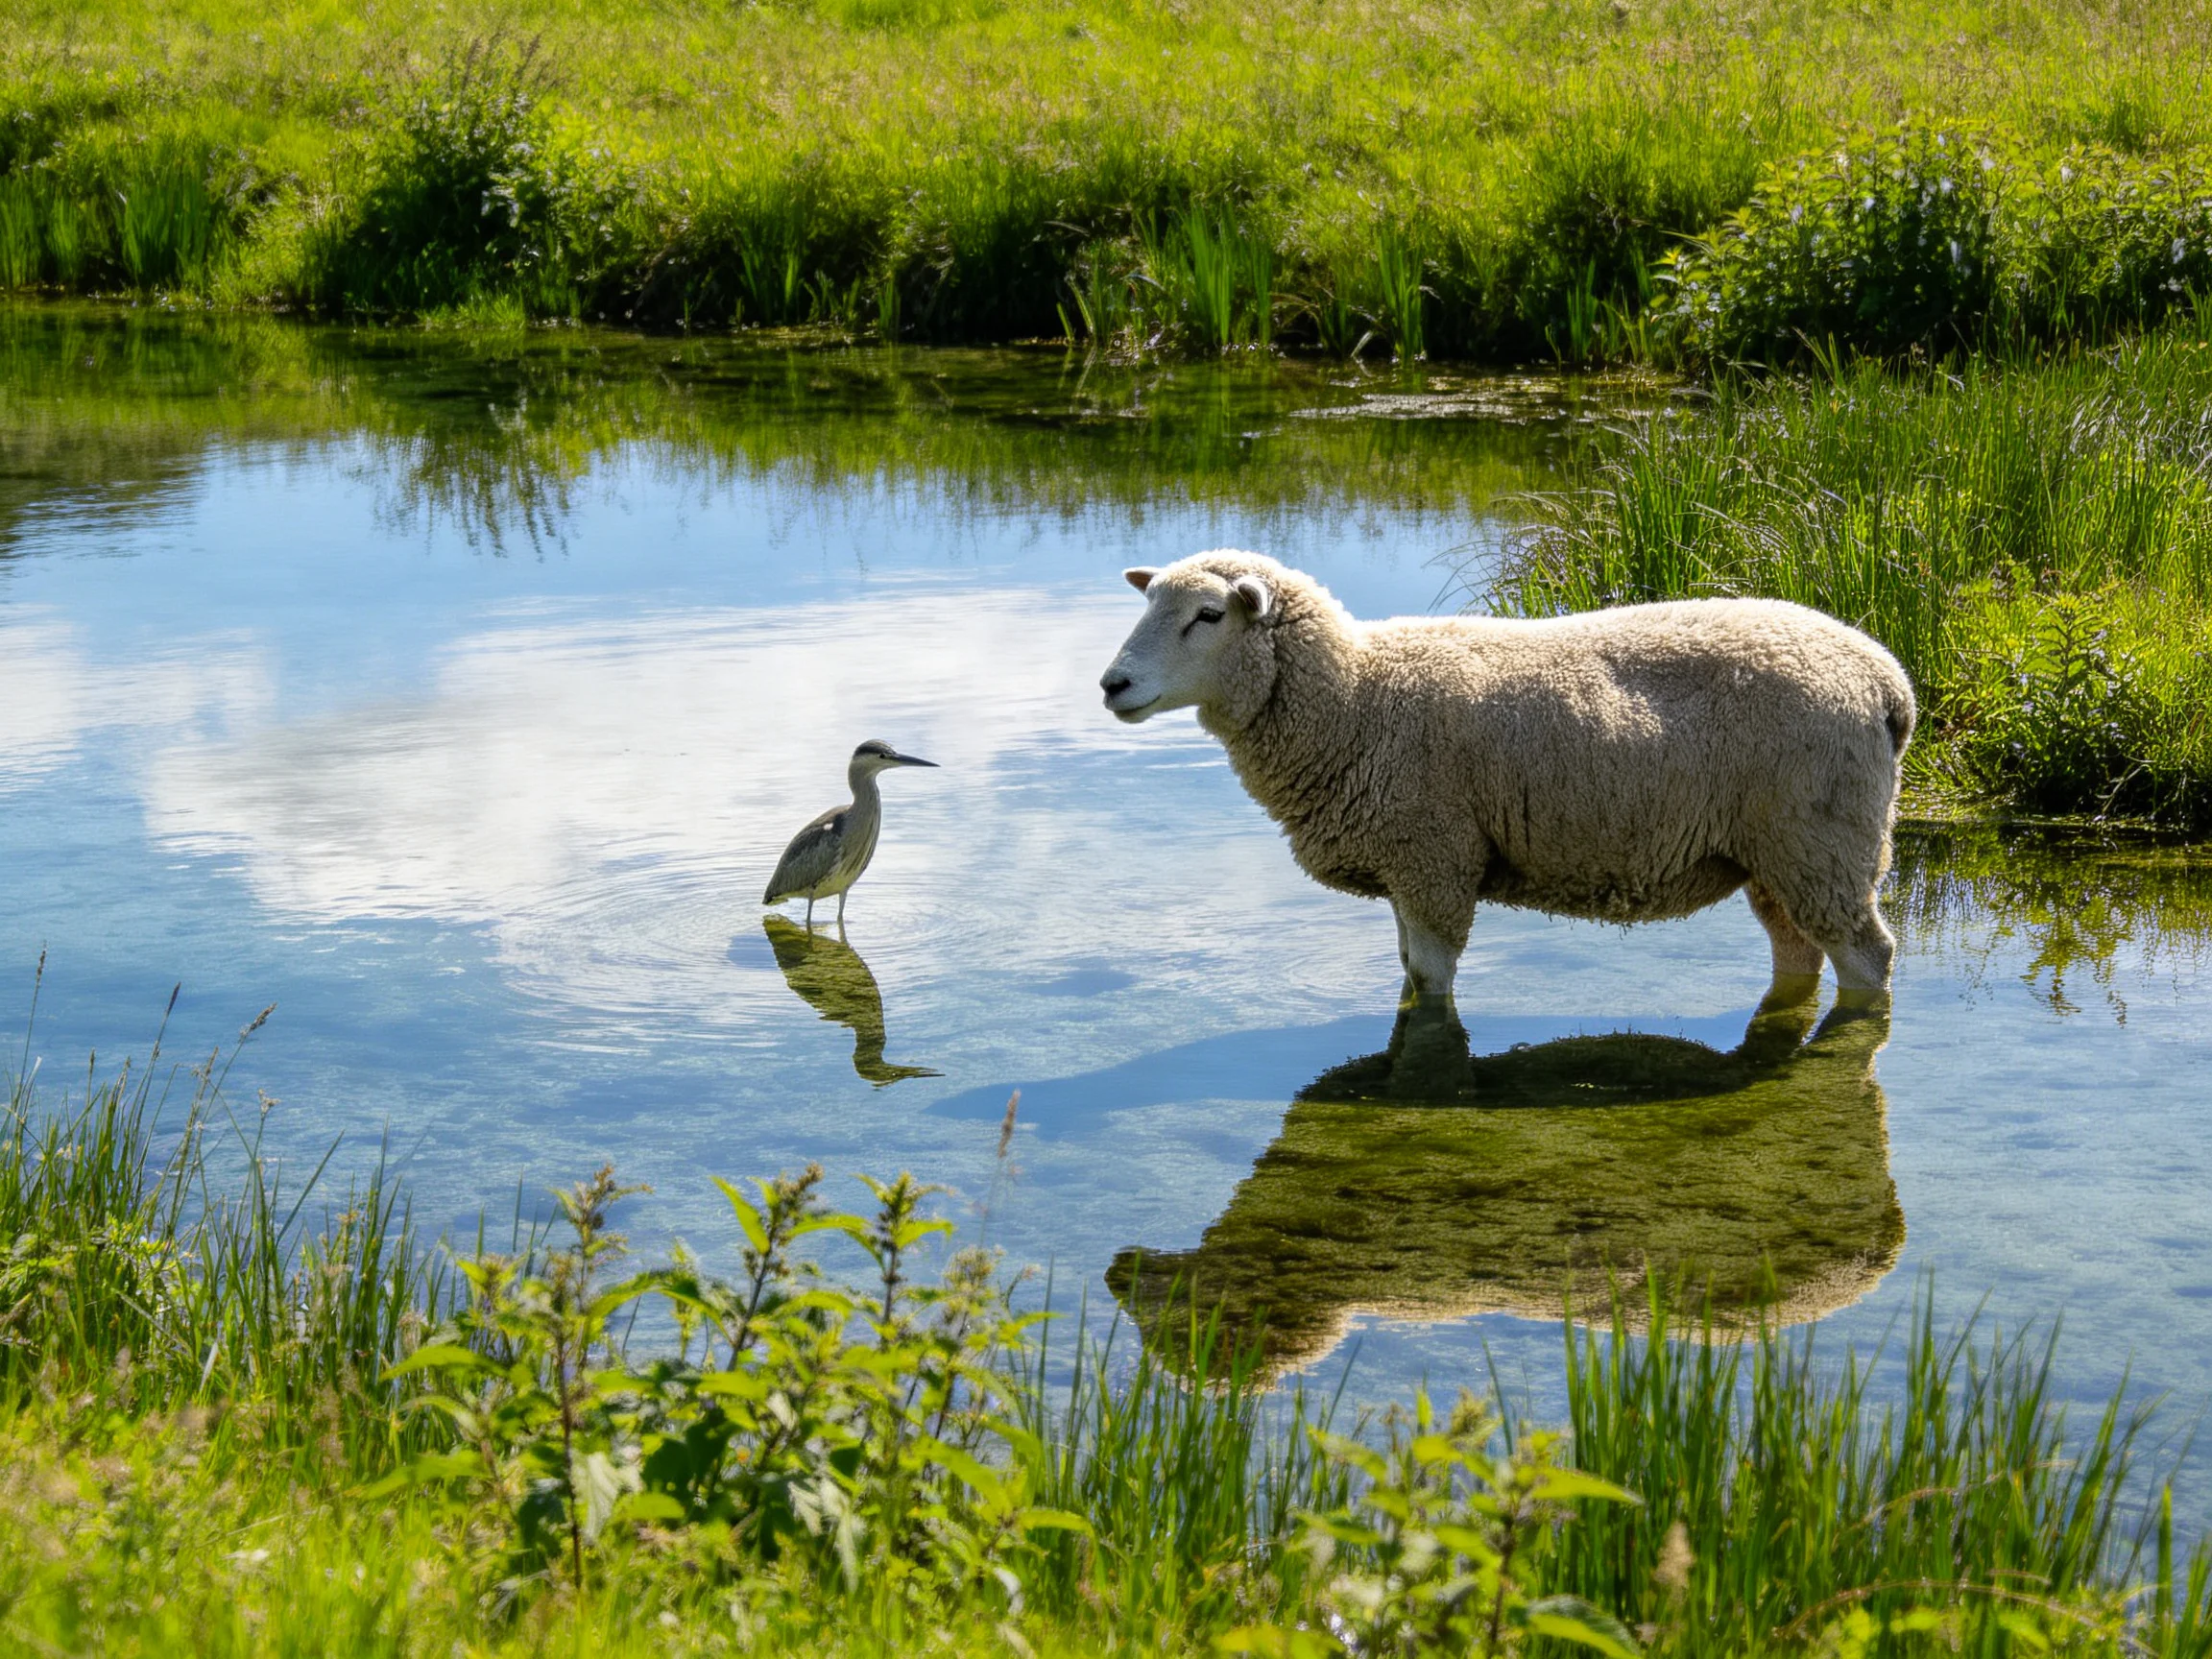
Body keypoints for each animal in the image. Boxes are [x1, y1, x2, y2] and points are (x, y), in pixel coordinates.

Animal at [1098, 551, 1915, 1003]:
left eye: (1208, 615)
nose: (1112, 685)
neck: (1356, 695)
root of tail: (1887, 681)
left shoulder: (1433, 859)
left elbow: (1429, 989)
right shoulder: (1405, 865)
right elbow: (1406, 973)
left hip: (1824, 839)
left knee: (1868, 957)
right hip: (1779, 854)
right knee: (1797, 949)